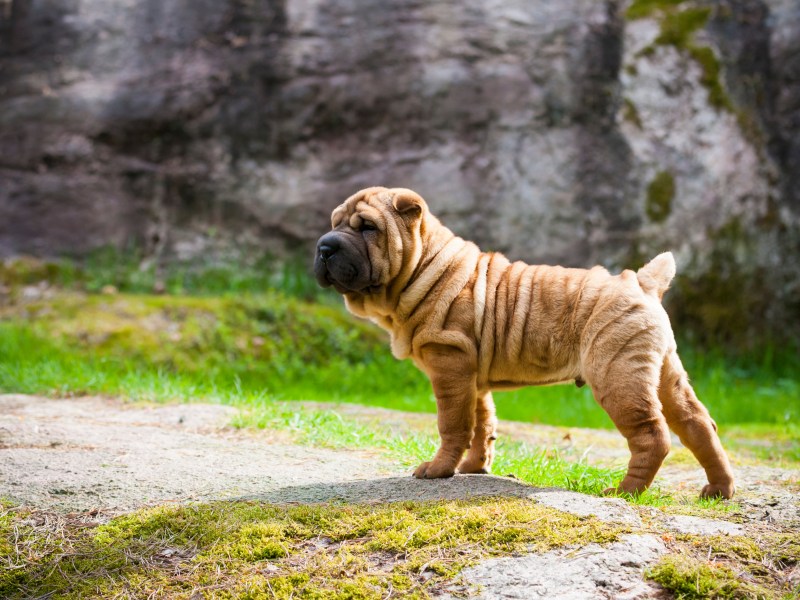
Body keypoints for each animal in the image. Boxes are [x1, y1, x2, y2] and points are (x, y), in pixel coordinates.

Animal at [314, 185, 736, 500]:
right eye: (334, 223)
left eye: (368, 227)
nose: (324, 246)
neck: (423, 268)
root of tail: (642, 281)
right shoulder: (471, 374)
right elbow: (482, 423)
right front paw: (475, 467)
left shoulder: (449, 364)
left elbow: (452, 424)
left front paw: (438, 470)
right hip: (664, 371)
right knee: (699, 424)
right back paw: (718, 489)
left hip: (618, 374)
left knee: (653, 435)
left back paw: (624, 491)